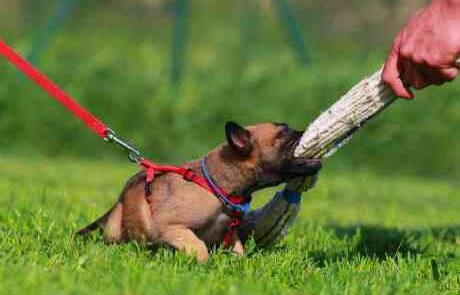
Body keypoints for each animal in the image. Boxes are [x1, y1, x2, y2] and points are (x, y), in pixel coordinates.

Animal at [76, 121, 320, 262]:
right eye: (284, 133)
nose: (306, 132)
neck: (217, 186)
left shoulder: (229, 235)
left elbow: (239, 251)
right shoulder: (170, 227)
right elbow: (199, 247)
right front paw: (202, 266)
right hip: (116, 228)